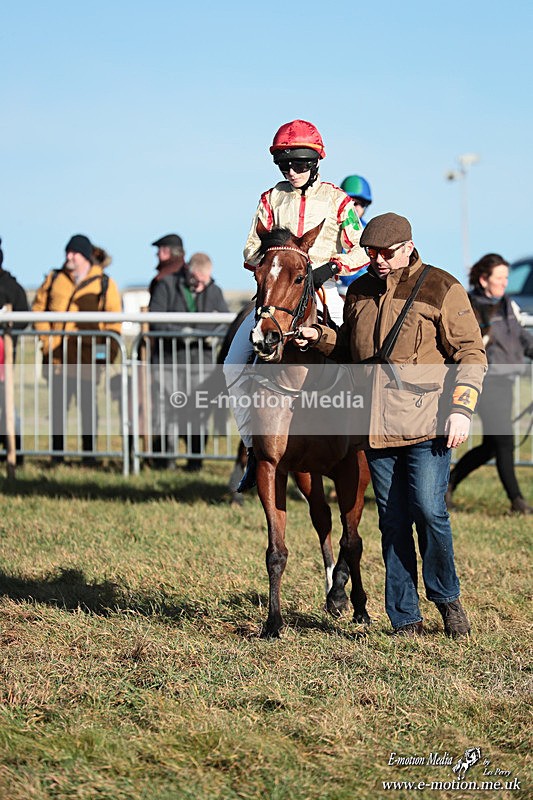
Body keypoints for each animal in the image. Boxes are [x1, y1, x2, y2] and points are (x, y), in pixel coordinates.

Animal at [245, 220, 370, 638]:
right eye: (257, 275)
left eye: (300, 277)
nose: (265, 337)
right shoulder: (272, 467)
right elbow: (276, 551)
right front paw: (273, 622)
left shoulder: (352, 467)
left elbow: (353, 540)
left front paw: (351, 602)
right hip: (307, 473)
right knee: (323, 518)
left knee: (351, 532)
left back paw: (350, 599)